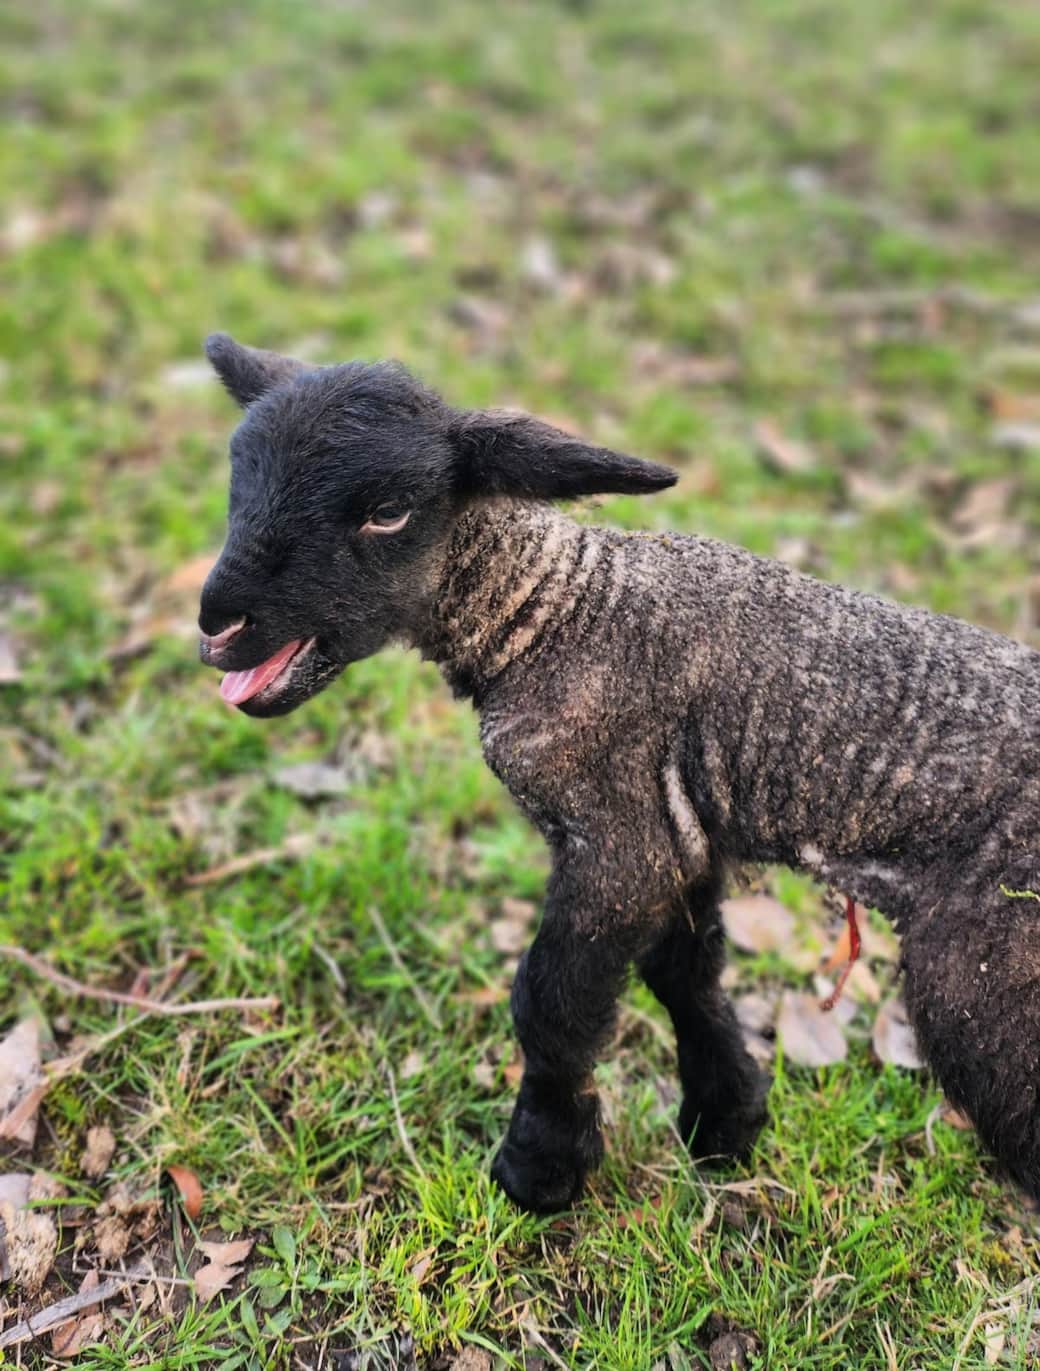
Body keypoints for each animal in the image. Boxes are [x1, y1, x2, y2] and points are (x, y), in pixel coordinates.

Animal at [197, 333, 1040, 1214]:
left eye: (387, 510)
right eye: (239, 482)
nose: (218, 624)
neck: (551, 613)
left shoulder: (615, 841)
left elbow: (551, 1006)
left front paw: (540, 1168)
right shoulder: (678, 833)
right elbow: (684, 974)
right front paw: (725, 1120)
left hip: (986, 986)